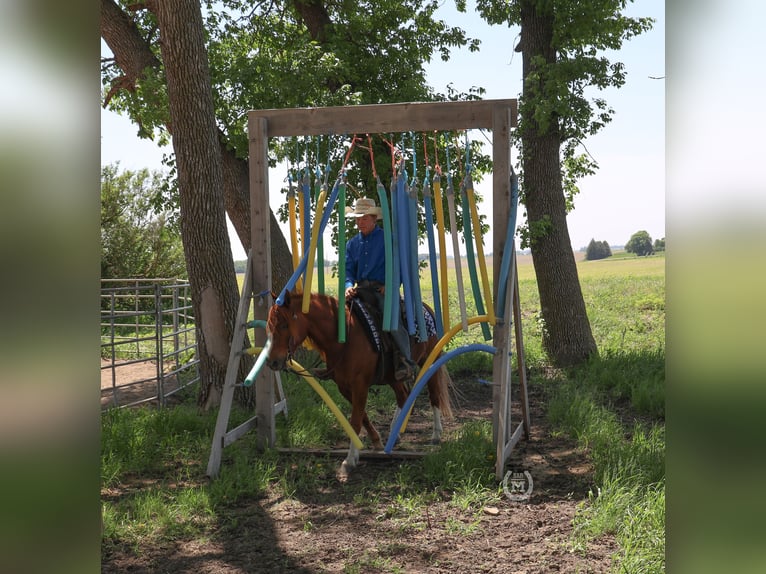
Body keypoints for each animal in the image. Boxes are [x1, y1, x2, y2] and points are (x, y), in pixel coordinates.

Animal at [268, 292, 452, 476]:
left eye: (284, 325)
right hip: (392, 377)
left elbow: (355, 421)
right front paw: (375, 442)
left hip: (430, 360)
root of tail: (427, 308)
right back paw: (396, 431)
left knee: (433, 395)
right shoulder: (344, 387)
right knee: (403, 397)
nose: (273, 362)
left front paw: (349, 460)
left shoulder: (360, 385)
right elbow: (362, 416)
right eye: (270, 327)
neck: (344, 339)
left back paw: (436, 434)